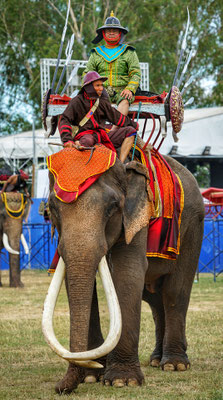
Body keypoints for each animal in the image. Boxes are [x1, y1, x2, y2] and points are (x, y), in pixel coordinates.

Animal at [42, 141, 205, 394]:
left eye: (113, 207)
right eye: (52, 208)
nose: (60, 388)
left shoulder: (138, 216)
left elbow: (128, 273)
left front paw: (122, 380)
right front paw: (92, 376)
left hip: (192, 227)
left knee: (174, 291)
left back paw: (174, 365)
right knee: (154, 298)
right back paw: (156, 360)